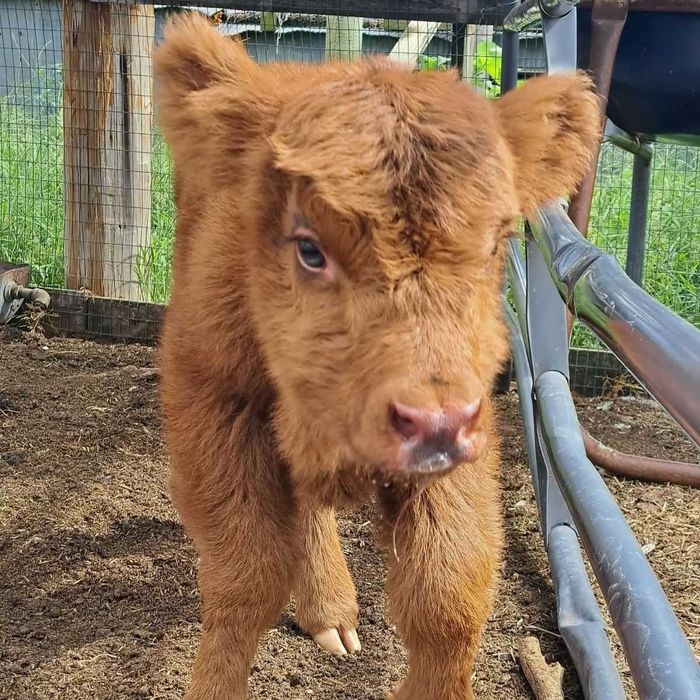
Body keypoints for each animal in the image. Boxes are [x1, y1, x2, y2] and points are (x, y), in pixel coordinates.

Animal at [153, 14, 598, 699]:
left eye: (495, 245)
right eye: (309, 248)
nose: (435, 423)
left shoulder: (461, 432)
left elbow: (446, 595)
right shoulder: (212, 394)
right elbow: (246, 581)